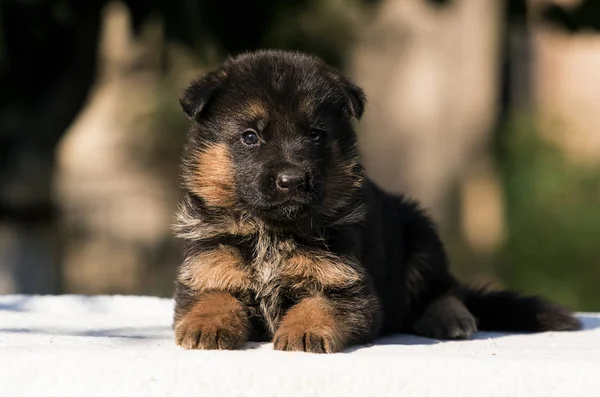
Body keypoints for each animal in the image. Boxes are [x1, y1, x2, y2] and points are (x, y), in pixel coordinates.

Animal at [172, 50, 580, 352]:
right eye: (250, 137)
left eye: (316, 135)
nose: (293, 181)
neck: (272, 231)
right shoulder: (206, 271)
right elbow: (213, 296)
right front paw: (207, 324)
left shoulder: (349, 287)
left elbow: (319, 302)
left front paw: (306, 329)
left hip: (421, 235)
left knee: (446, 289)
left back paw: (449, 317)